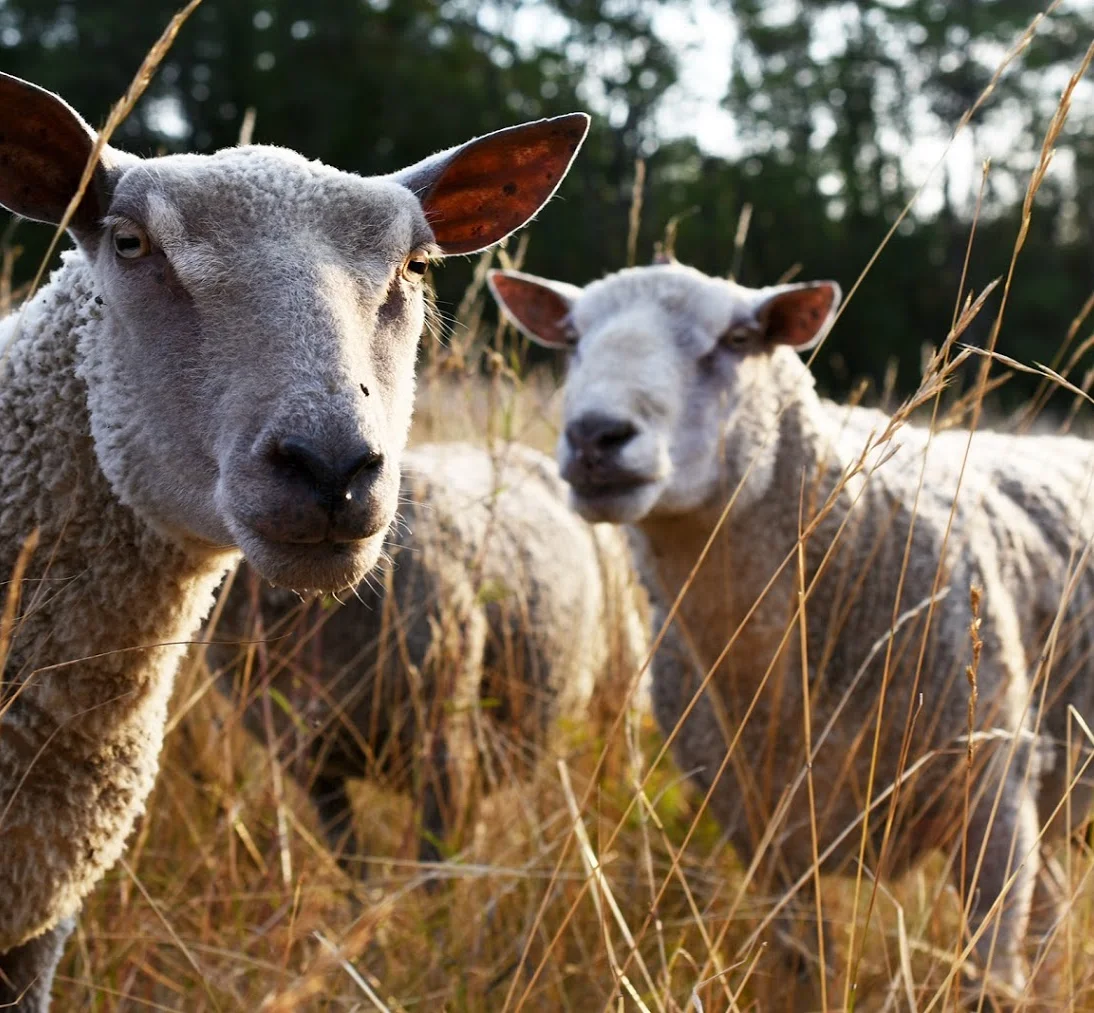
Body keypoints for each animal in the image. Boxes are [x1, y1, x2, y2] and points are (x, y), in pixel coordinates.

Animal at [488, 260, 1094, 1005]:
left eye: (738, 338)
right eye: (571, 339)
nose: (596, 436)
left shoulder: (993, 802)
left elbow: (988, 980)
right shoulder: (765, 836)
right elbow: (806, 969)